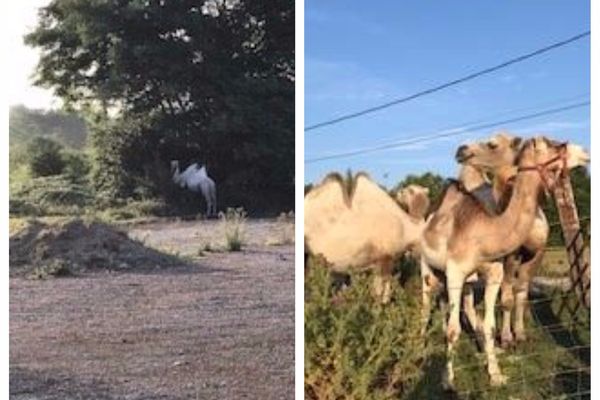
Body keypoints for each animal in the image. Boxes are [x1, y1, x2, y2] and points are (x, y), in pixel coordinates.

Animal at [420, 137, 584, 388]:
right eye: (550, 144)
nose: (583, 152)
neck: (487, 234)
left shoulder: (493, 273)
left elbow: (490, 325)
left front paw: (495, 373)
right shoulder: (455, 271)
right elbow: (453, 331)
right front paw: (448, 381)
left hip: (462, 278)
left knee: (456, 303)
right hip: (426, 267)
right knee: (427, 303)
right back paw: (420, 347)